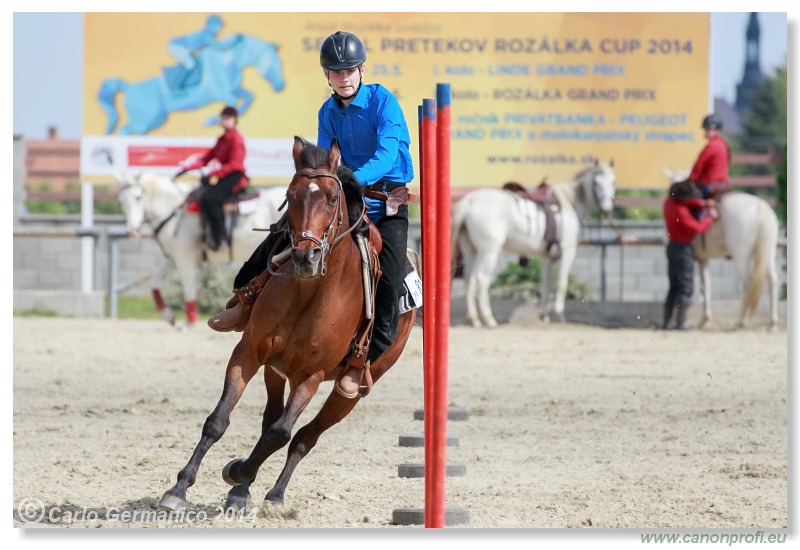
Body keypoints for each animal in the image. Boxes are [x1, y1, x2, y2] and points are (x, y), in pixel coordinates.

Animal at [159, 137, 416, 512]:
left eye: (332, 198)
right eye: (291, 196)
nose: (305, 256)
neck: (308, 292)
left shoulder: (312, 375)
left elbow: (281, 434)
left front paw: (237, 471)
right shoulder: (248, 352)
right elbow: (218, 421)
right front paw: (179, 488)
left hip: (347, 391)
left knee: (304, 437)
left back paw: (274, 494)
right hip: (276, 369)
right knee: (272, 419)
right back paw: (241, 492)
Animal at [454, 162, 616, 330]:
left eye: (613, 182)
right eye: (596, 182)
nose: (607, 209)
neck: (569, 203)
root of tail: (469, 202)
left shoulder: (547, 257)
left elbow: (545, 284)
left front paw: (544, 315)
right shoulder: (568, 250)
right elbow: (562, 283)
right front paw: (559, 315)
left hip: (471, 250)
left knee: (469, 278)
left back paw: (474, 319)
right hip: (489, 251)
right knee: (481, 279)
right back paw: (489, 319)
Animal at [664, 169, 780, 332]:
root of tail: (760, 207)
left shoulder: (698, 259)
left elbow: (700, 287)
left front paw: (704, 320)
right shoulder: (703, 259)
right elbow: (706, 287)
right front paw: (705, 321)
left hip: (741, 256)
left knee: (748, 283)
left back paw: (742, 321)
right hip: (768, 254)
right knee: (773, 283)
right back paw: (772, 323)